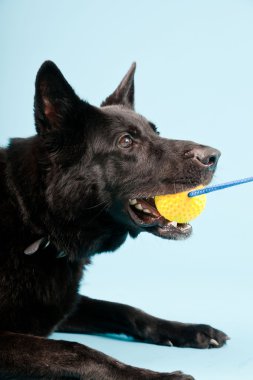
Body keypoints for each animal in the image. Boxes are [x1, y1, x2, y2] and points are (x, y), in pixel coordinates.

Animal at [0, 60, 228, 378]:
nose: (214, 156)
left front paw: (187, 330)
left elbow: (124, 309)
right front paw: (155, 376)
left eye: (156, 132)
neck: (37, 223)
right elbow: (75, 351)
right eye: (126, 141)